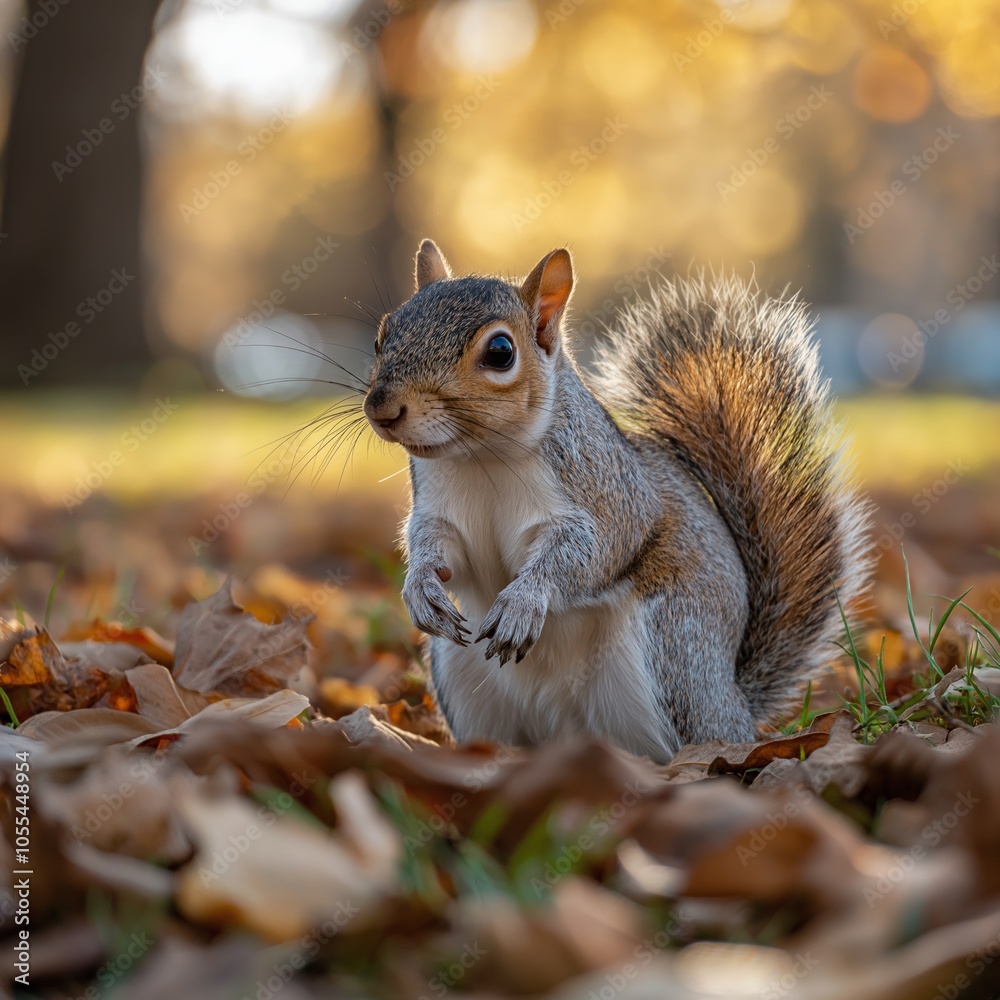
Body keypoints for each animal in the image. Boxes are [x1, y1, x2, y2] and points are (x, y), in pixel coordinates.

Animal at [363, 239, 870, 762]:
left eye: (501, 352)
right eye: (383, 334)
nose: (382, 407)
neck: (482, 459)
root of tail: (736, 702)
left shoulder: (612, 496)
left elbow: (590, 553)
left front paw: (524, 601)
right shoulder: (437, 510)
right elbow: (433, 545)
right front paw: (420, 587)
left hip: (671, 649)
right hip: (460, 669)